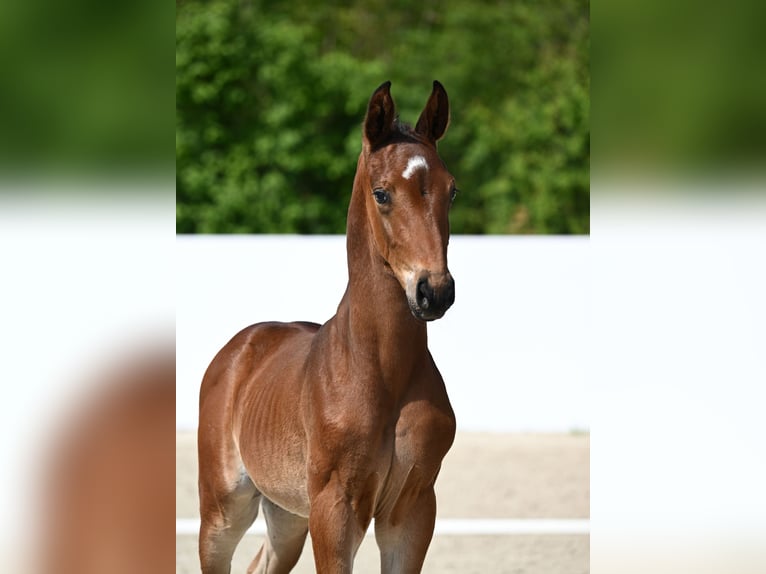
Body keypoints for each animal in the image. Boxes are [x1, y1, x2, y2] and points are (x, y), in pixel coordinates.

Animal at [198, 80, 458, 574]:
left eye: (451, 191)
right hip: (223, 509)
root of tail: (239, 348)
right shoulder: (335, 508)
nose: (434, 291)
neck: (381, 370)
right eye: (381, 193)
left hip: (286, 514)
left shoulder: (413, 508)